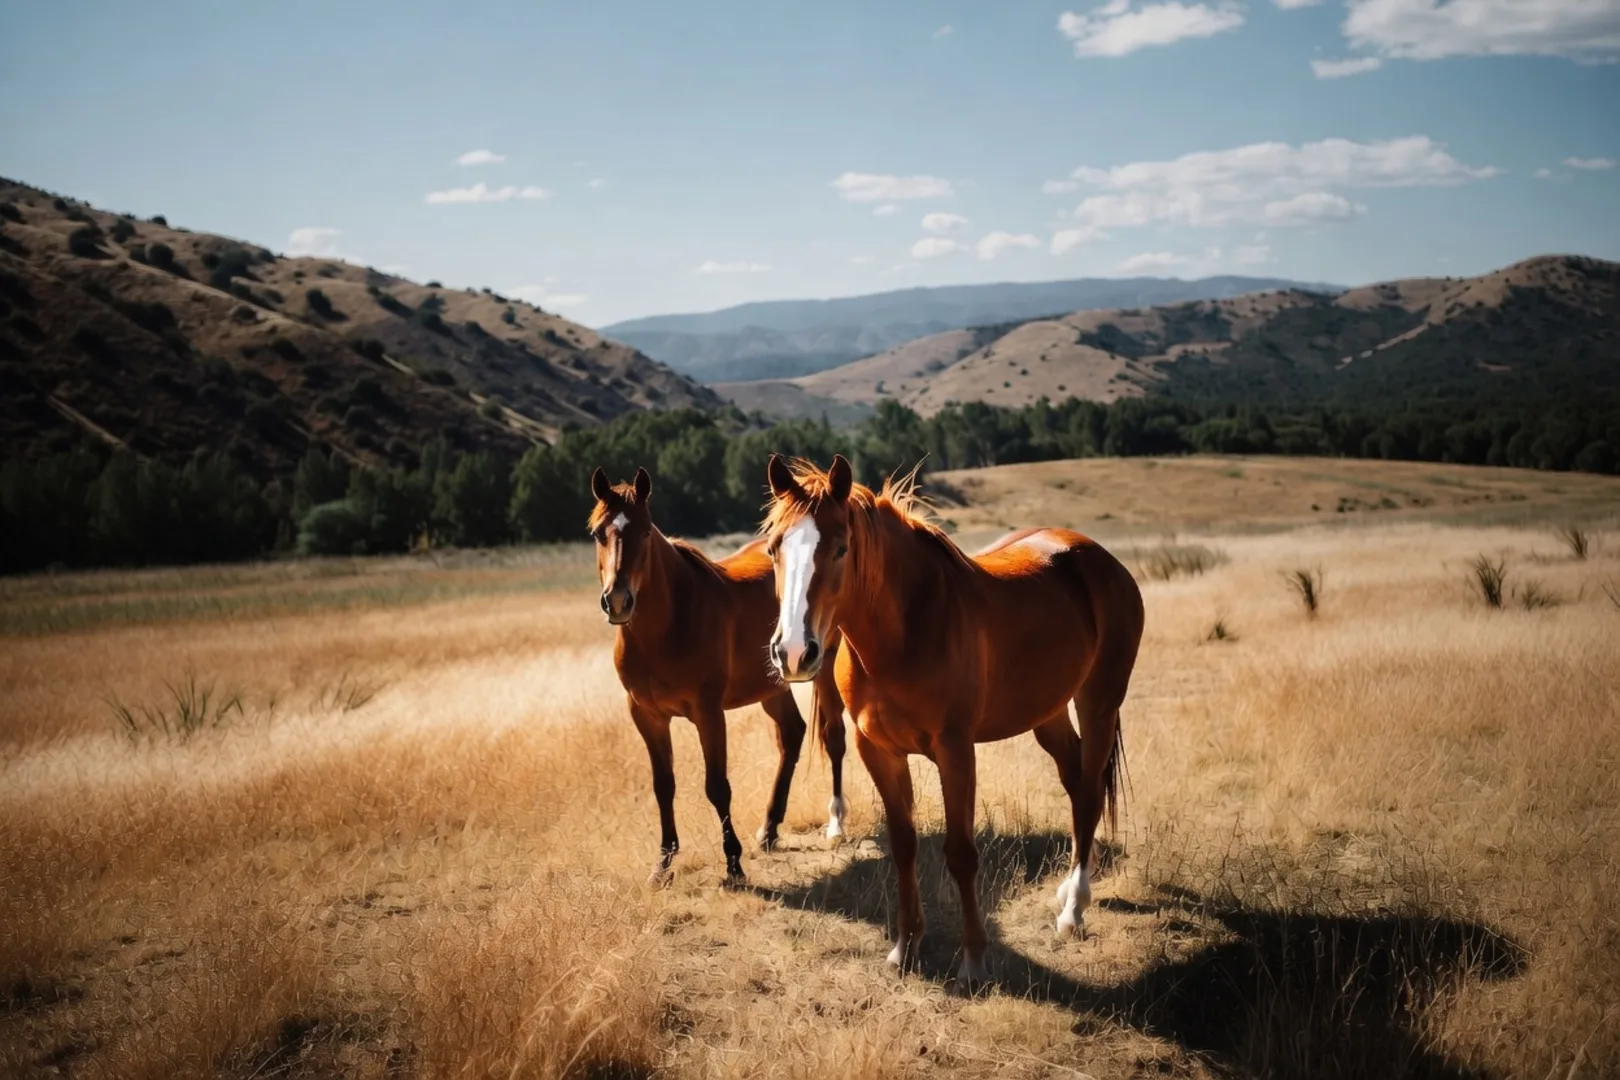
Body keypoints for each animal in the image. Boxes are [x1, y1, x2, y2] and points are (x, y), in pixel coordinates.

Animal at [589, 466, 850, 886]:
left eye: (645, 531)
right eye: (599, 532)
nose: (617, 601)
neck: (667, 626)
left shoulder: (708, 714)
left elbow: (717, 787)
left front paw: (734, 863)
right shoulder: (647, 716)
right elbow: (663, 786)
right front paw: (662, 864)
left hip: (821, 669)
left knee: (833, 736)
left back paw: (836, 823)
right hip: (773, 683)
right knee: (791, 734)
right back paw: (769, 829)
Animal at [759, 454, 1144, 980]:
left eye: (840, 548)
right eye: (774, 548)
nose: (794, 653)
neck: (905, 632)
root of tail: (1099, 557)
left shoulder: (955, 750)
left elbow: (961, 853)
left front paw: (975, 959)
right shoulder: (877, 750)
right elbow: (903, 847)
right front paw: (905, 947)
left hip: (1099, 701)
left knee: (1087, 791)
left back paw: (1073, 909)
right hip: (1048, 712)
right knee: (1074, 780)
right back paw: (1067, 887)